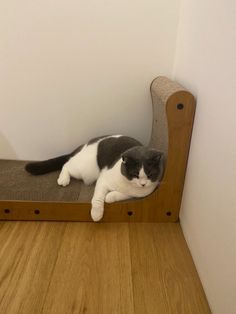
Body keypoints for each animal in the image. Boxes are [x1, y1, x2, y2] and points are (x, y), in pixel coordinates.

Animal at [24, 135, 163, 221]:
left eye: (150, 174)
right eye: (135, 174)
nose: (143, 184)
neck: (128, 183)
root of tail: (84, 145)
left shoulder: (140, 194)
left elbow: (123, 194)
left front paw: (110, 196)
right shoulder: (103, 180)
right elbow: (97, 198)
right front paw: (96, 214)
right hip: (84, 170)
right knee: (66, 164)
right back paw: (63, 179)